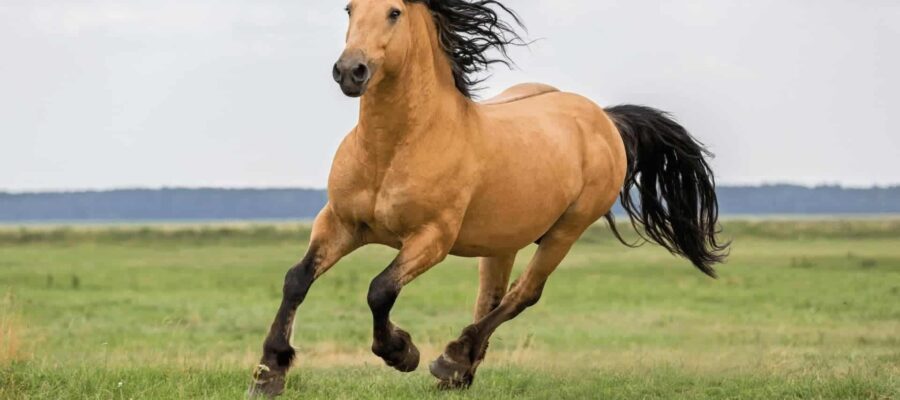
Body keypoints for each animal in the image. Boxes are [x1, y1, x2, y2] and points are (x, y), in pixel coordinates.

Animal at [250, 0, 728, 396]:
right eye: (349, 8)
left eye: (394, 12)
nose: (351, 71)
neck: (396, 147)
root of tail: (603, 118)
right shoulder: (340, 223)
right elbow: (296, 279)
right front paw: (270, 372)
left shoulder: (432, 238)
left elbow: (379, 290)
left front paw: (402, 352)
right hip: (503, 242)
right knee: (491, 298)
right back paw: (460, 372)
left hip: (565, 231)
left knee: (524, 294)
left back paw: (451, 360)